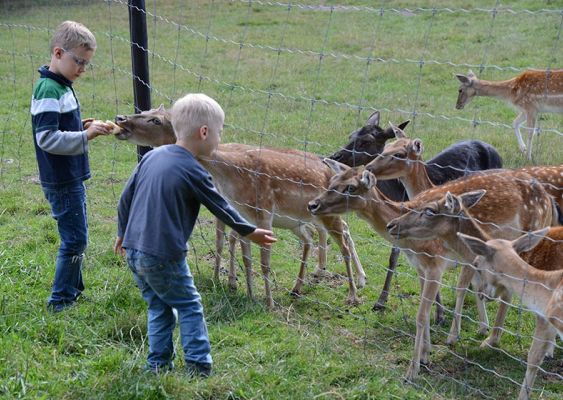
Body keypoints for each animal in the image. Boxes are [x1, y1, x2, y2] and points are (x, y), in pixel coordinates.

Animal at [115, 105, 370, 306]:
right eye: (144, 111)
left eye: (155, 120)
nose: (120, 118)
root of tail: (333, 169)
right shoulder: (238, 213)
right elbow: (239, 250)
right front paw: (244, 291)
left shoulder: (262, 212)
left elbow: (252, 256)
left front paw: (261, 299)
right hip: (299, 220)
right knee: (314, 237)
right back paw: (300, 286)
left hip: (325, 214)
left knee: (343, 241)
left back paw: (353, 293)